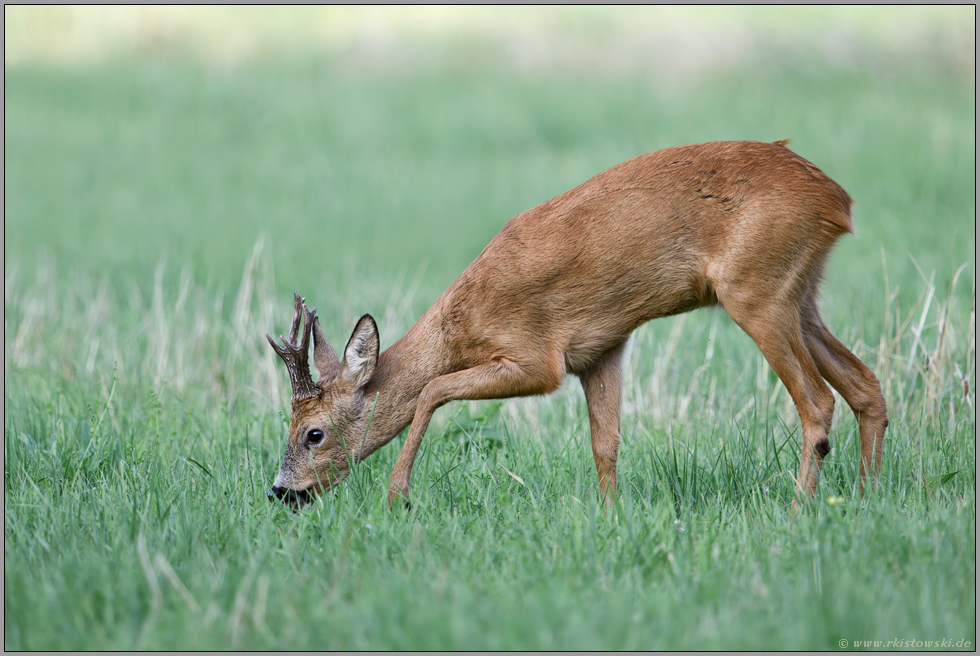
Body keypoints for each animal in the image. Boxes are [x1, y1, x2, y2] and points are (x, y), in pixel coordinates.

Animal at [268, 138, 888, 510]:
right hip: (799, 293)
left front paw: (398, 494)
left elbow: (433, 389)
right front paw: (611, 517)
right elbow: (604, 443)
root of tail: (837, 201)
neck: (460, 325)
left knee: (818, 401)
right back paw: (864, 499)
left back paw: (800, 508)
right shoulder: (601, 349)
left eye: (313, 432)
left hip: (756, 291)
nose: (279, 491)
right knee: (865, 385)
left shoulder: (537, 357)